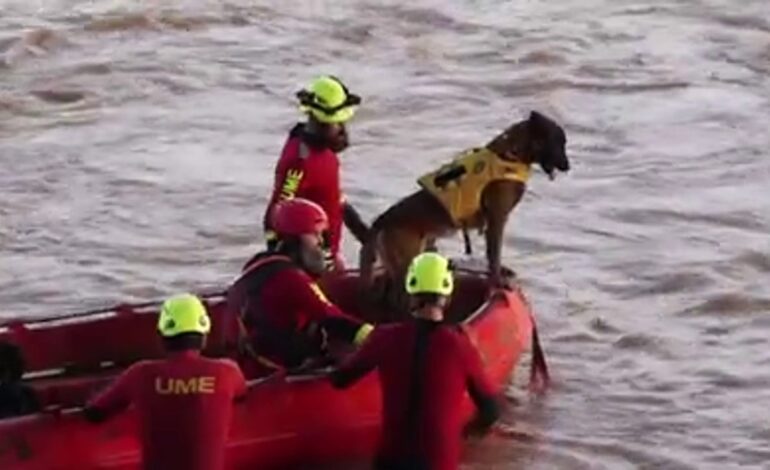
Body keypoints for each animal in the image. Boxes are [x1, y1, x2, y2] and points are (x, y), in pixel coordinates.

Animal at [356, 110, 568, 312]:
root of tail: (382, 220)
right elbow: (494, 255)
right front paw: (498, 281)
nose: (568, 166)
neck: (511, 153)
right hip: (408, 262)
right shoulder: (497, 219)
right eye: (558, 143)